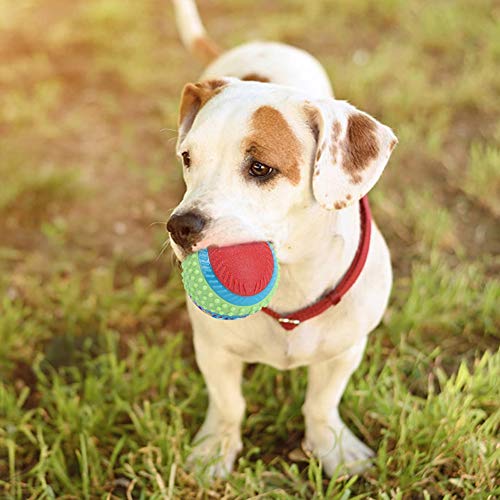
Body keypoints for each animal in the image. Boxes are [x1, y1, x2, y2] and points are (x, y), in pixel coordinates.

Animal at [168, 0, 398, 476]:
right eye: (187, 158)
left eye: (260, 168)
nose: (180, 226)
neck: (292, 275)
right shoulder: (214, 350)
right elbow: (229, 404)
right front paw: (216, 448)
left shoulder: (344, 352)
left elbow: (321, 404)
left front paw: (332, 448)